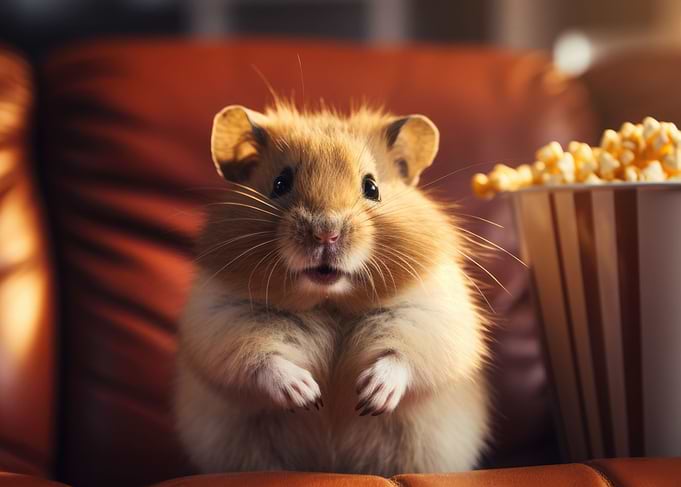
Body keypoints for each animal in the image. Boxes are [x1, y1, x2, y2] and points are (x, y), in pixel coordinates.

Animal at [174, 101, 490, 476]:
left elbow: (401, 357)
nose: (326, 233)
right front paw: (308, 396)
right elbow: (262, 360)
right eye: (280, 183)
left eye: (372, 188)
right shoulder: (222, 321)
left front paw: (370, 398)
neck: (329, 303)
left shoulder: (431, 319)